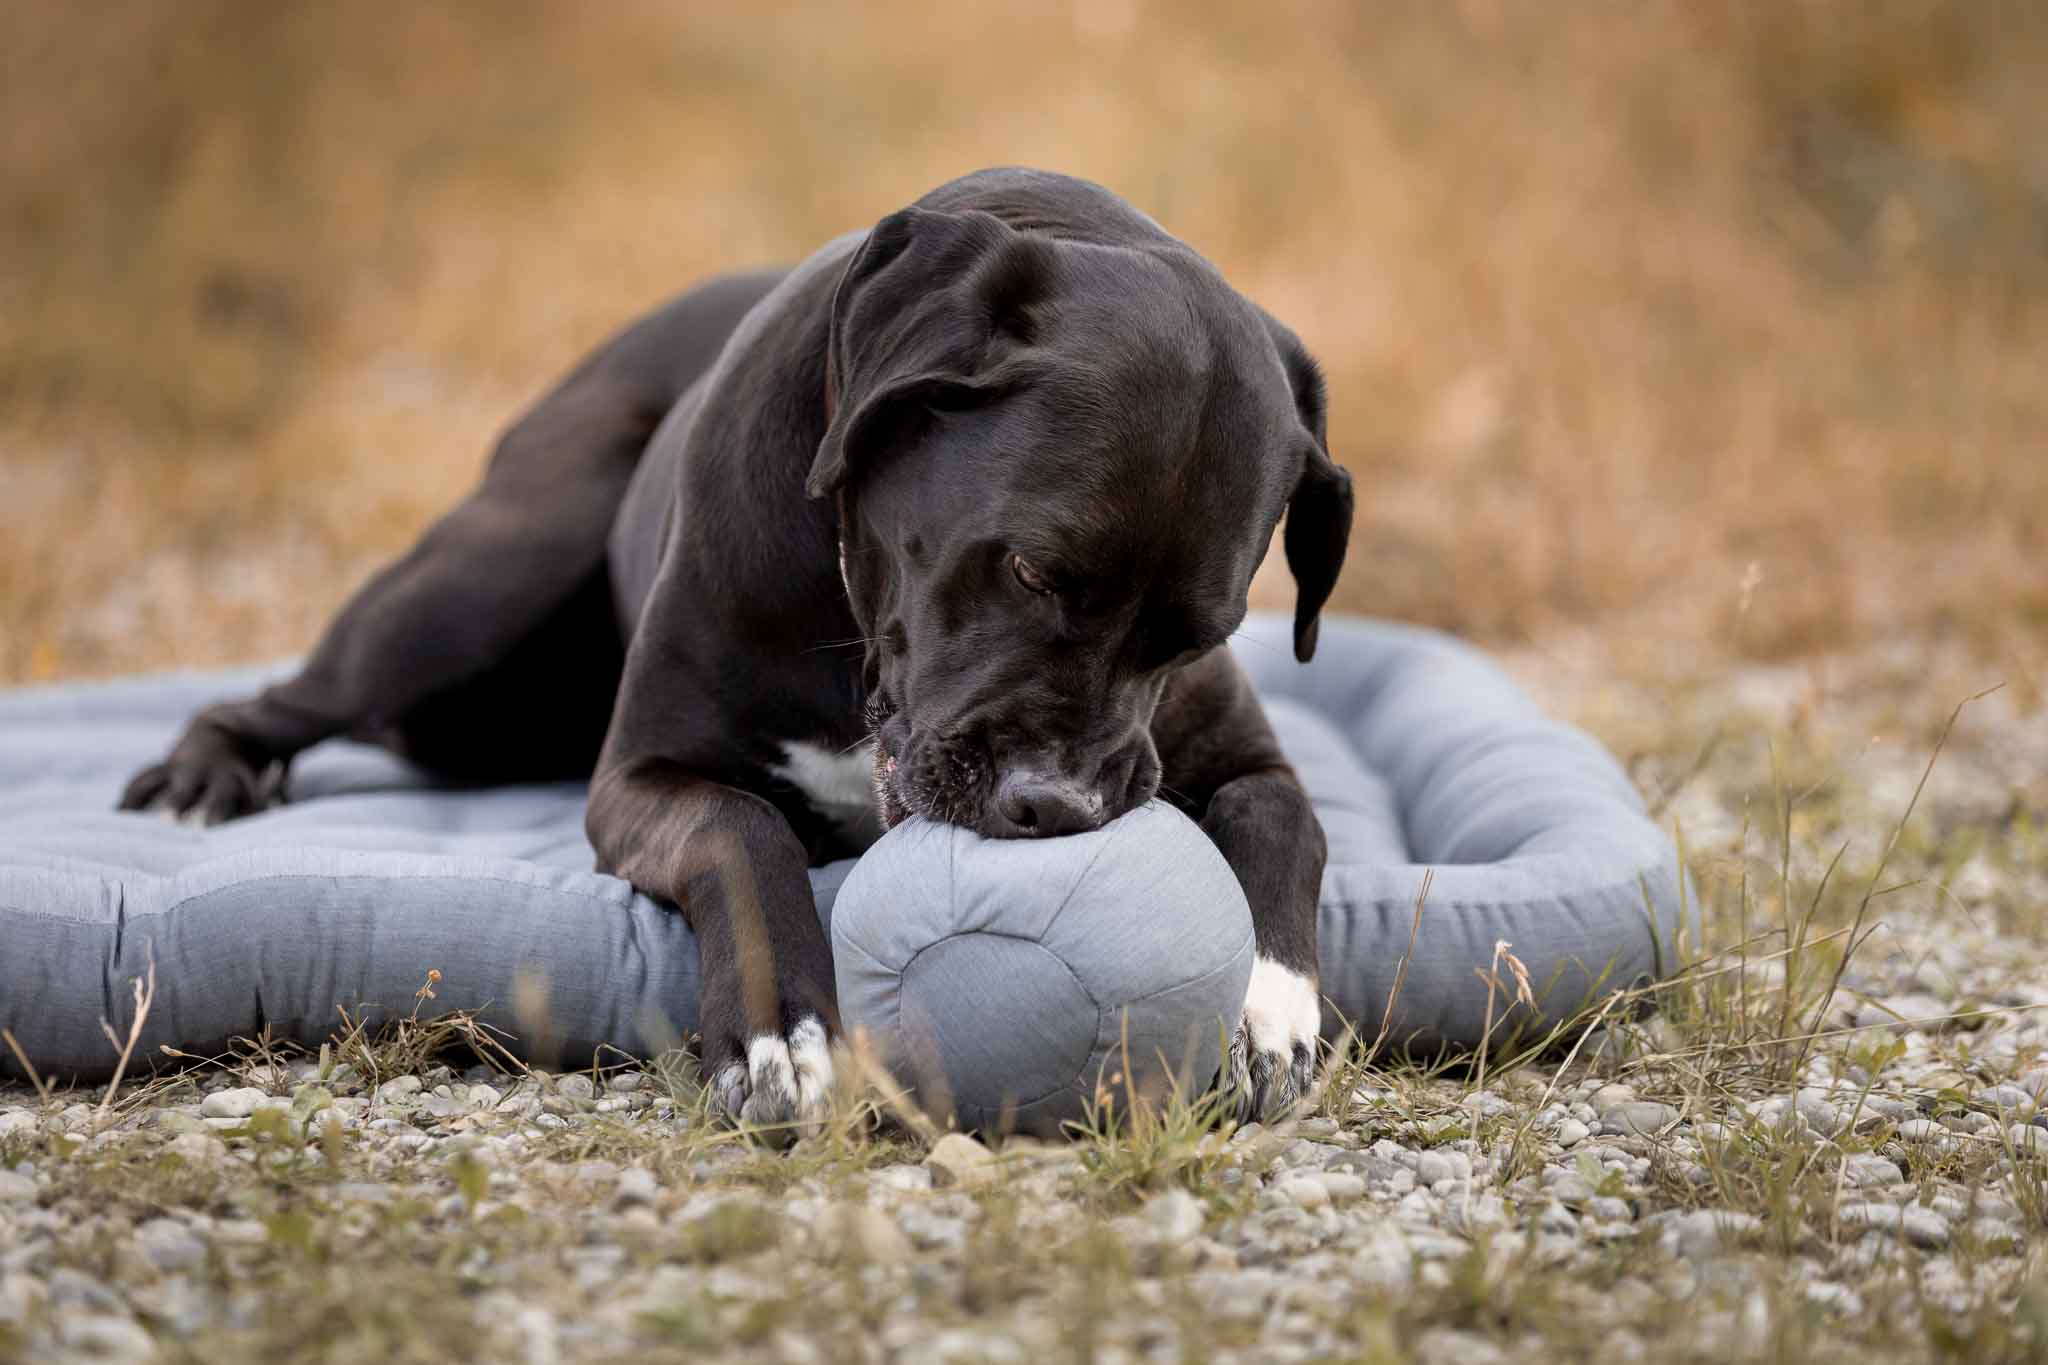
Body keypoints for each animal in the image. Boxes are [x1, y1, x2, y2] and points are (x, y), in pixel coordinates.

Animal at [119, 167, 1351, 1129]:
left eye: (1196, 635)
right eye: (1030, 570)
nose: (1059, 808)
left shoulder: (1242, 755)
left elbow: (1281, 817)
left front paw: (1264, 1011)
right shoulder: (643, 777)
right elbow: (740, 828)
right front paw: (779, 1036)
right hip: (478, 584)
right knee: (290, 695)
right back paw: (204, 774)